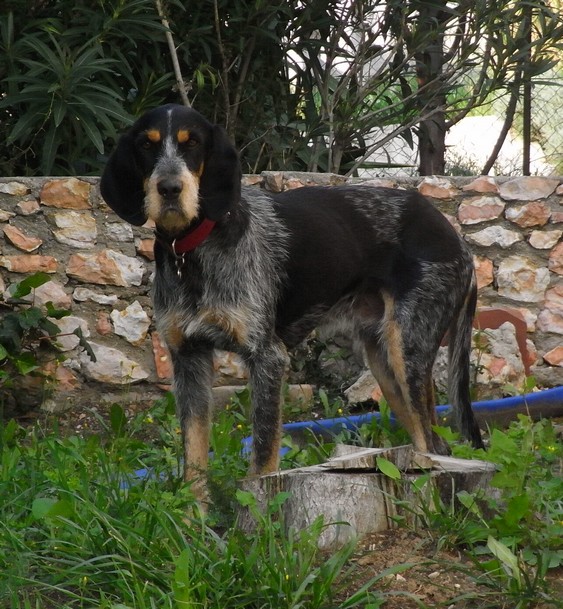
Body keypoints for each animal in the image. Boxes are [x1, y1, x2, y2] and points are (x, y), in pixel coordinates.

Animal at [100, 104, 484, 502]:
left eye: (193, 145)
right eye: (146, 145)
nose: (170, 188)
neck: (192, 252)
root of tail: (458, 241)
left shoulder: (268, 358)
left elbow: (263, 459)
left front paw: (259, 510)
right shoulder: (188, 360)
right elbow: (194, 464)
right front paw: (197, 516)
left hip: (408, 350)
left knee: (433, 449)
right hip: (384, 360)